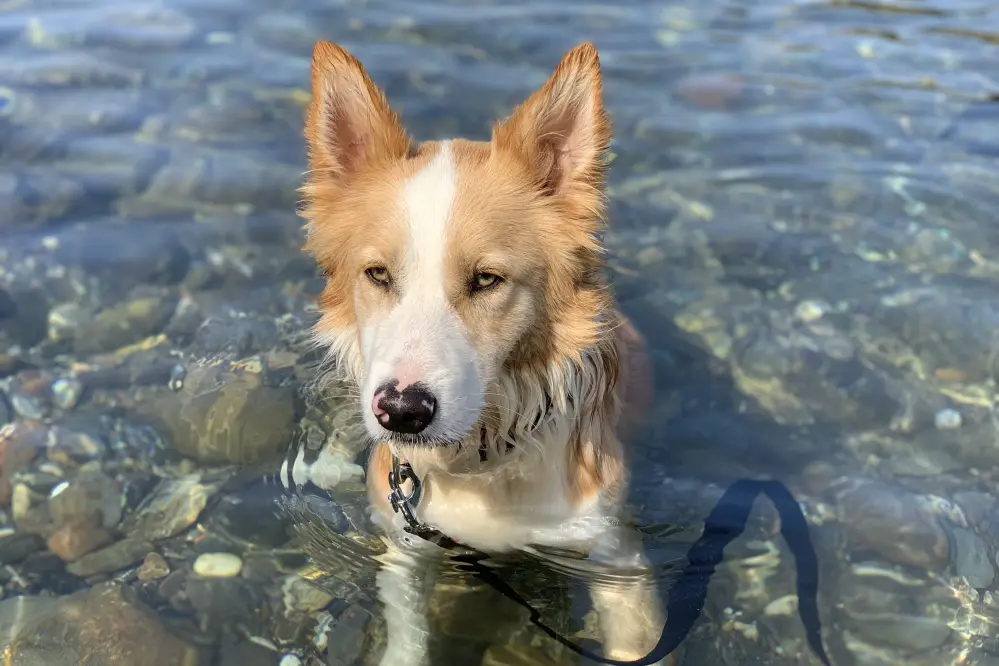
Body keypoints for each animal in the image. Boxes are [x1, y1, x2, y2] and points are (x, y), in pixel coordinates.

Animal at [298, 41, 672, 664]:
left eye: (486, 280)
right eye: (378, 274)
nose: (401, 413)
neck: (482, 459)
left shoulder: (615, 555)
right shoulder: (406, 542)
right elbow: (407, 637)